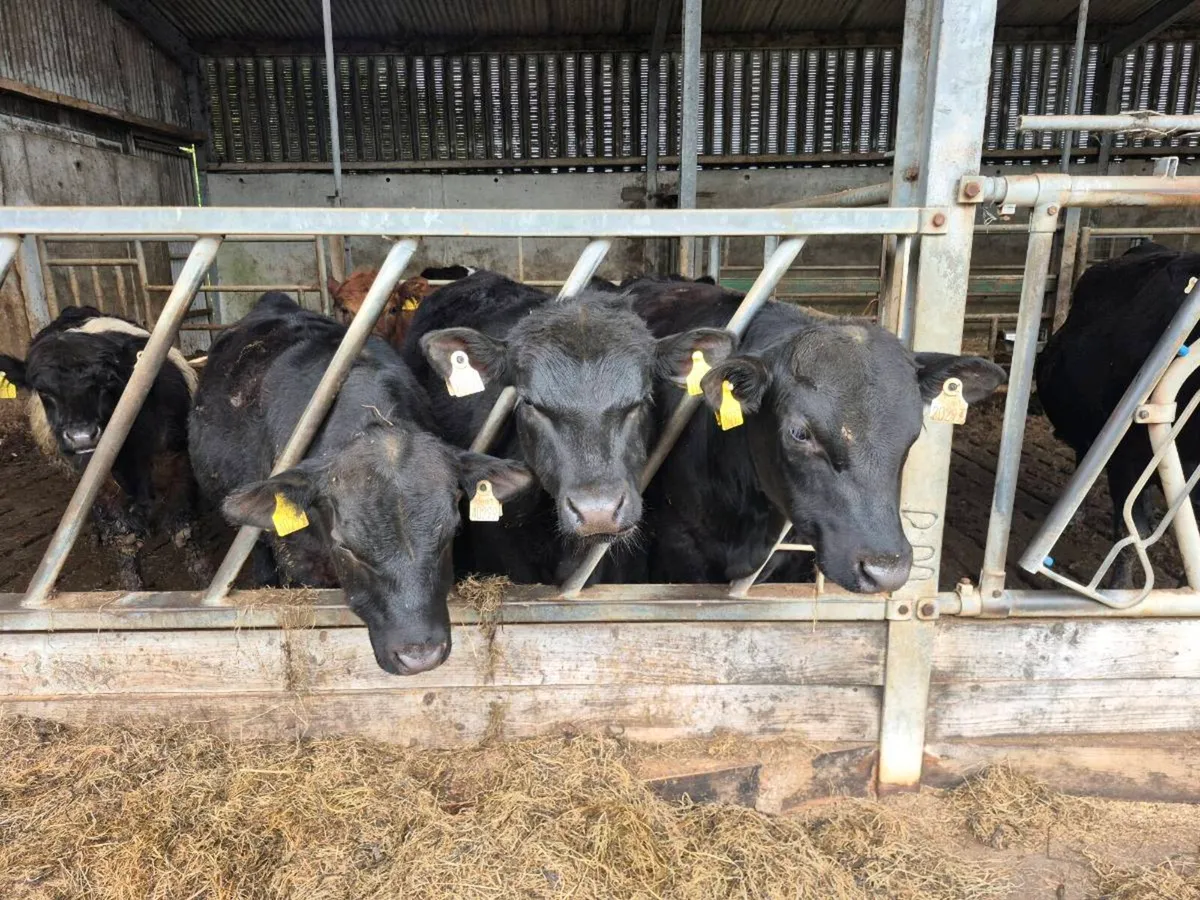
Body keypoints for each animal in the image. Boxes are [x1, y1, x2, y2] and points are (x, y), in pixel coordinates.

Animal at [0, 306, 210, 590]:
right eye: (43, 391)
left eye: (108, 381)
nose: (81, 437)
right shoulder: (101, 482)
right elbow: (125, 540)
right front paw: (133, 589)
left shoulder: (178, 462)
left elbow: (184, 531)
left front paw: (206, 582)